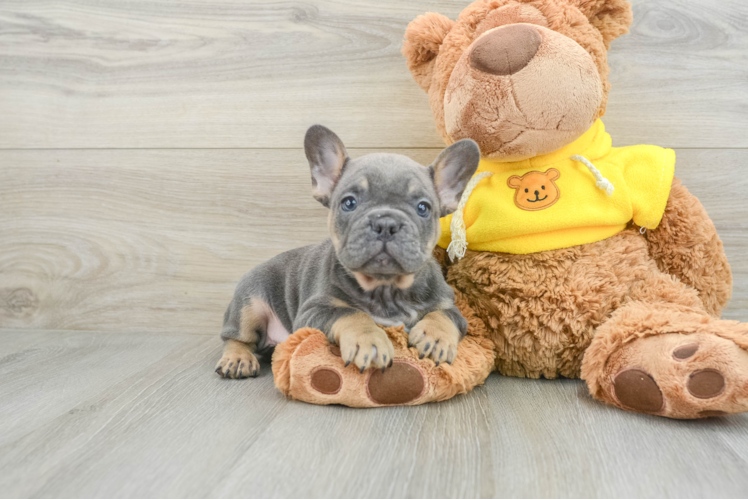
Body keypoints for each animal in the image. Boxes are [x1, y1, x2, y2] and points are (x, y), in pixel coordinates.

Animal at [215, 126, 480, 378]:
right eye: (349, 203)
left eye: (423, 208)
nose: (386, 223)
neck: (386, 289)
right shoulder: (314, 311)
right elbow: (350, 313)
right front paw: (369, 339)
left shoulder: (450, 305)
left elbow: (446, 315)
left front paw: (436, 337)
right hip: (249, 304)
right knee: (236, 337)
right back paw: (238, 359)